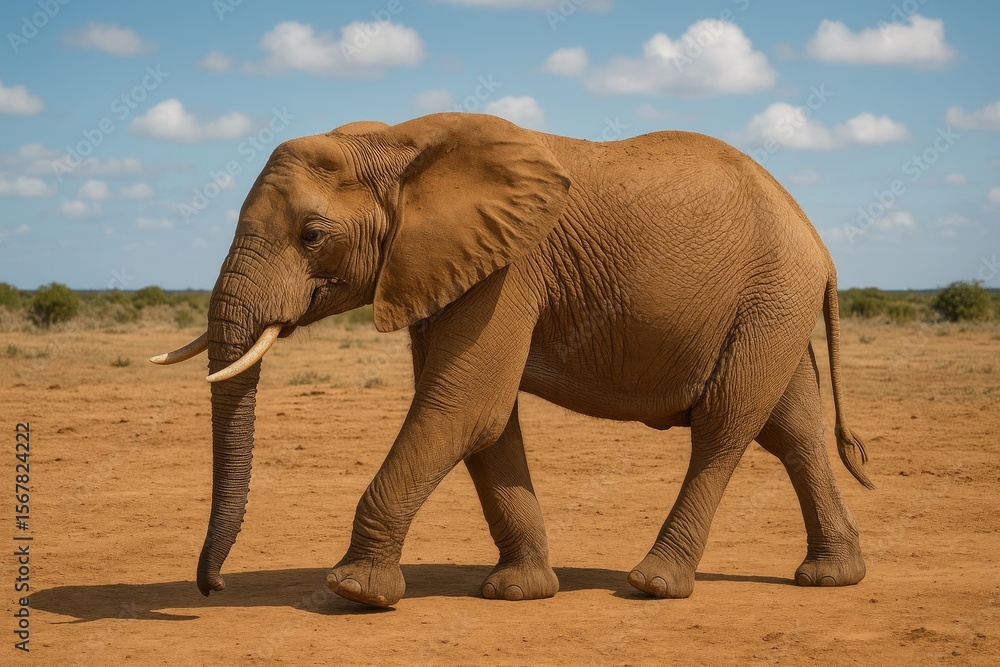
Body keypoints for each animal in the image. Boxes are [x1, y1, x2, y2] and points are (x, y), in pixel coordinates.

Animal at [151, 112, 873, 608]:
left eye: (312, 235)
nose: (212, 587)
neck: (396, 143)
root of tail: (822, 243)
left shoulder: (509, 266)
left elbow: (462, 405)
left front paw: (355, 591)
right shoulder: (446, 268)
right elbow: (484, 420)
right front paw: (518, 591)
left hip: (770, 296)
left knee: (725, 426)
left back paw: (654, 583)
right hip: (772, 305)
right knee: (793, 429)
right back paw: (831, 577)